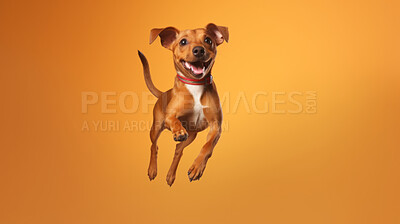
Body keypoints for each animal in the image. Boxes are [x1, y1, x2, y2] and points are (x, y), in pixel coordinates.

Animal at [139, 23, 230, 186]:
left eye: (208, 40)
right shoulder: (170, 115)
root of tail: (163, 93)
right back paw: (152, 169)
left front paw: (197, 167)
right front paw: (178, 131)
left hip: (191, 136)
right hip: (156, 128)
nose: (199, 50)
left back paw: (170, 175)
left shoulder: (216, 126)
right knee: (154, 146)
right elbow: (174, 120)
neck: (195, 85)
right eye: (183, 42)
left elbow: (207, 147)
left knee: (178, 150)